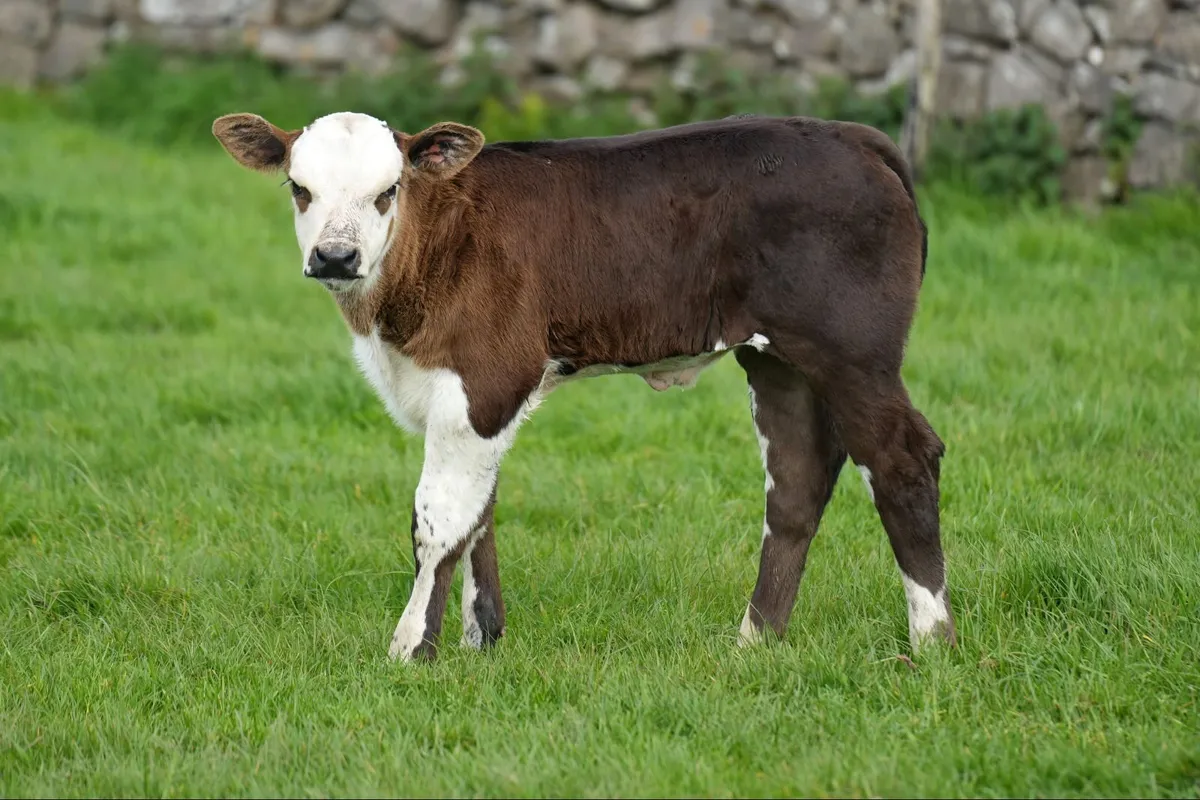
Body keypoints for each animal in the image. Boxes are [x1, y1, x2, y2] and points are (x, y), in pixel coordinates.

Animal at [211, 109, 957, 663]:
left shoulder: (485, 380)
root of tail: (850, 135)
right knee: (798, 477)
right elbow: (478, 512)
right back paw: (756, 640)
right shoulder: (472, 402)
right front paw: (482, 638)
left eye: (386, 191)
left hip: (854, 352)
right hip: (778, 360)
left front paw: (410, 649)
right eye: (298, 188)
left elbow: (438, 519)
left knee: (902, 458)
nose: (335, 257)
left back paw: (931, 638)